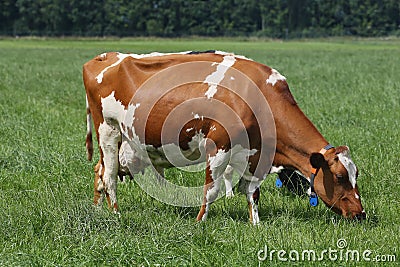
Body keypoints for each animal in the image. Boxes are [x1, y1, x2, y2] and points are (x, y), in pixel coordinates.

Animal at [83, 49, 366, 224]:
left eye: (356, 175)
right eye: (340, 177)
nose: (361, 213)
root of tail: (103, 58)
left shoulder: (256, 152)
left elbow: (252, 192)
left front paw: (256, 223)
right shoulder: (218, 145)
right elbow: (211, 189)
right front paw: (200, 222)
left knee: (99, 170)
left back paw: (97, 208)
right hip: (108, 130)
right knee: (109, 175)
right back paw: (115, 213)